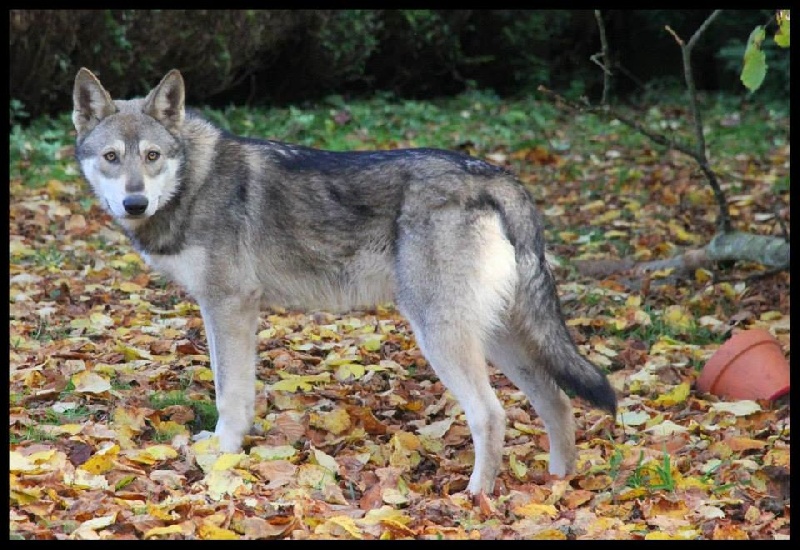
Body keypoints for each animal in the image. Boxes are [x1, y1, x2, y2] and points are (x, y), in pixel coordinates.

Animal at [72, 69, 616, 496]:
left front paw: (222, 454)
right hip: (499, 338)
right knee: (558, 402)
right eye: (113, 157)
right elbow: (238, 391)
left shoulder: (229, 306)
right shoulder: (228, 310)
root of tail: (498, 177)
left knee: (491, 414)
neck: (195, 182)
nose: (135, 203)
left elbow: (228, 392)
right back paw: (558, 485)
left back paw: (475, 498)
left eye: (152, 156)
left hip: (442, 336)